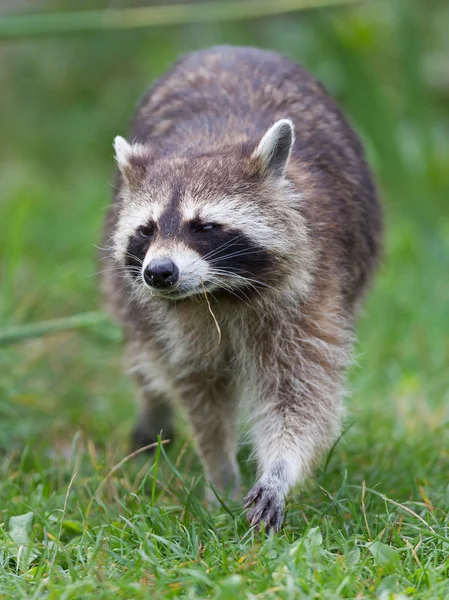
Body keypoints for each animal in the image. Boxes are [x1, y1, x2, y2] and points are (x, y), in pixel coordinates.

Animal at [101, 48, 382, 536]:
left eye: (205, 227)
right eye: (147, 229)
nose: (159, 273)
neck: (218, 293)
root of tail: (227, 47)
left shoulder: (311, 290)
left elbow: (301, 394)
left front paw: (279, 470)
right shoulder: (176, 321)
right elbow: (200, 393)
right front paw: (220, 471)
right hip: (125, 292)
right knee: (145, 352)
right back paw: (152, 410)